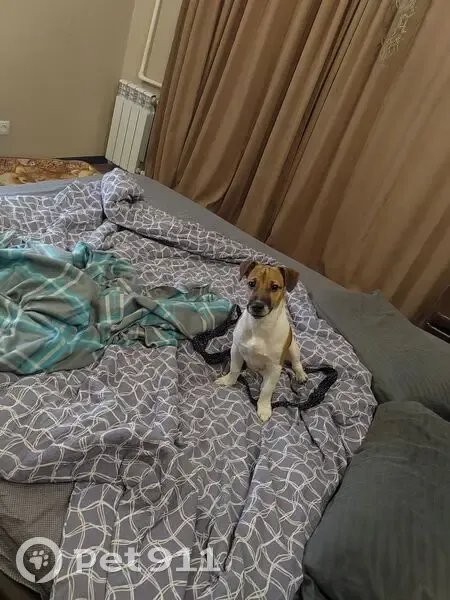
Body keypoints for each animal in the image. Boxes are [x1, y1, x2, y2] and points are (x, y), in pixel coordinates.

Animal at [216, 259, 307, 423]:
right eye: (252, 283)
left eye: (275, 287)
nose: (257, 306)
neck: (259, 327)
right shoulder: (236, 350)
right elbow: (234, 369)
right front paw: (227, 381)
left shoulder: (276, 367)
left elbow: (266, 390)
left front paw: (264, 408)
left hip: (293, 348)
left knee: (296, 363)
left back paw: (300, 374)